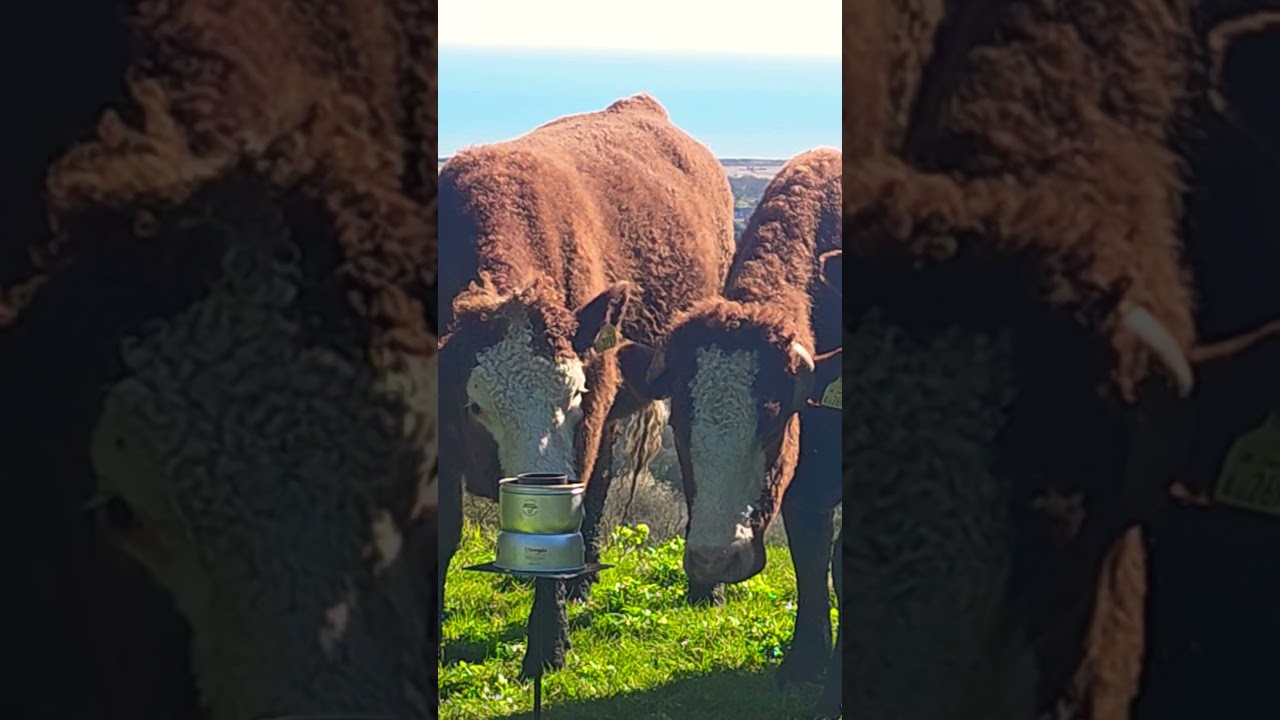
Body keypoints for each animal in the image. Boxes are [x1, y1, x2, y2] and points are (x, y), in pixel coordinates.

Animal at [437, 94, 736, 679]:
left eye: (571, 395)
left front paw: (547, 648)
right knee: (600, 478)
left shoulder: (588, 413)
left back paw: (702, 586)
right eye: (474, 406)